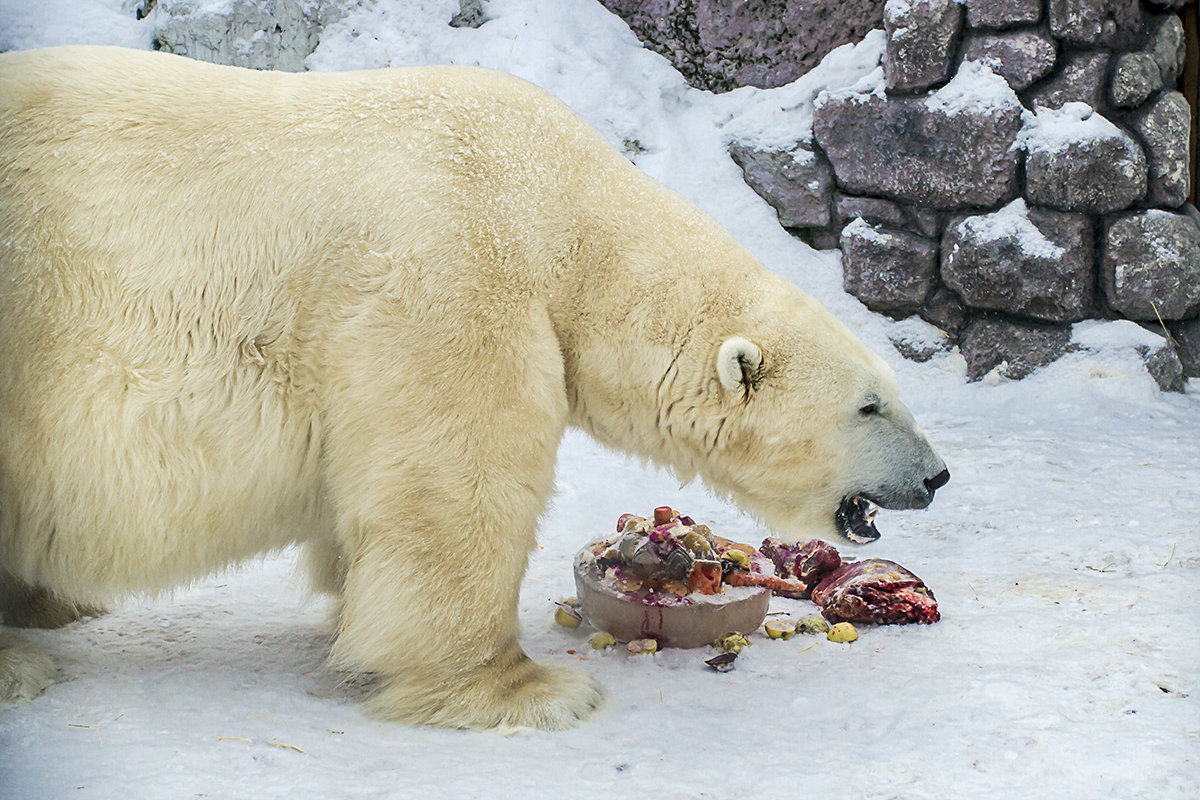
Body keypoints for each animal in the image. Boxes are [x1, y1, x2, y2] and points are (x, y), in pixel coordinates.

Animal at [2, 47, 945, 729]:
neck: (560, 213)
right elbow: (454, 491)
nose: (936, 476)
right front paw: (523, 688)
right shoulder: (452, 279)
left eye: (893, 392)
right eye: (870, 405)